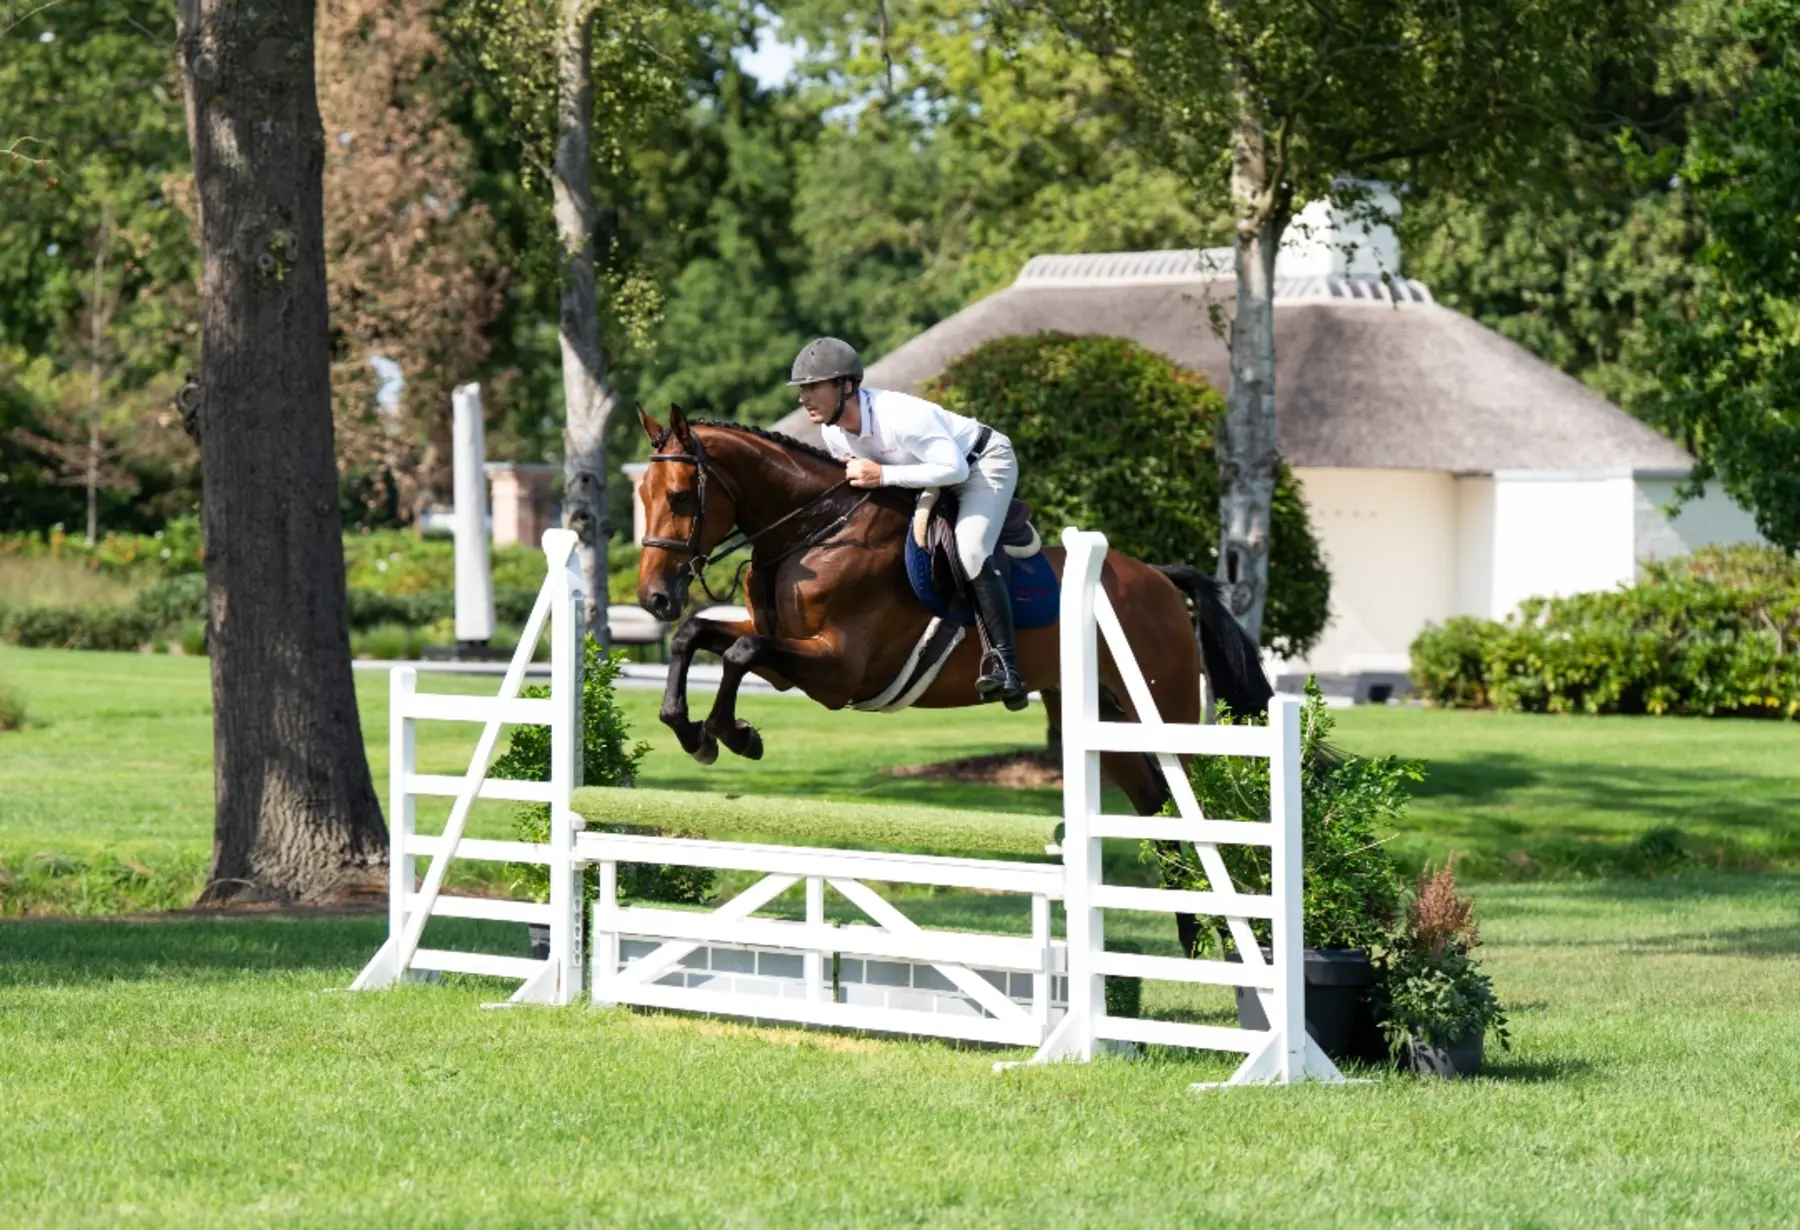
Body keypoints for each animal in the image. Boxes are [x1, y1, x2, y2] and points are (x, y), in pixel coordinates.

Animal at [633, 404, 1273, 820]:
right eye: (641, 494)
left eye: (681, 497)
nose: (653, 598)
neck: (814, 531)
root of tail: (1161, 579)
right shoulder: (787, 656)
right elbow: (696, 636)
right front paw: (690, 730)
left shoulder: (838, 672)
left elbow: (739, 652)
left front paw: (730, 734)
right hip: (1099, 717)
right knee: (1156, 811)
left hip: (1165, 712)